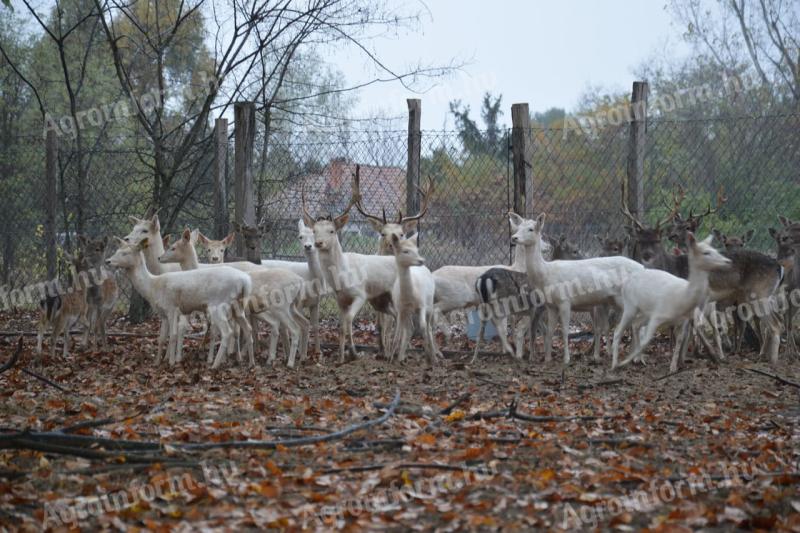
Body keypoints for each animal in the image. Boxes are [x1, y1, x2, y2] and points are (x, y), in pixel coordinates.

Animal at [104, 239, 252, 368]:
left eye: (125, 253)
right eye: (117, 250)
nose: (107, 261)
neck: (153, 287)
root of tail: (245, 281)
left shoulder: (171, 308)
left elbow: (173, 335)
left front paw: (171, 362)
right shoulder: (163, 313)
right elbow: (162, 338)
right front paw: (157, 362)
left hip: (218, 305)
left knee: (227, 332)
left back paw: (214, 365)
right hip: (238, 306)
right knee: (247, 328)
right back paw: (250, 363)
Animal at [386, 233, 440, 362]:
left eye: (417, 250)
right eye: (405, 251)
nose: (421, 260)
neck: (409, 297)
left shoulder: (422, 305)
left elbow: (423, 327)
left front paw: (429, 357)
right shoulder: (400, 309)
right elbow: (397, 334)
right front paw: (391, 360)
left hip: (430, 305)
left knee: (429, 328)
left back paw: (434, 357)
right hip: (408, 312)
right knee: (409, 329)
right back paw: (401, 358)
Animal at [510, 212, 648, 366]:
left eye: (531, 229)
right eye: (518, 228)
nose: (514, 238)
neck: (546, 274)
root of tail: (643, 268)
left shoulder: (565, 300)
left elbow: (565, 331)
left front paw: (566, 359)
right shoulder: (551, 305)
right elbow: (550, 331)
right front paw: (547, 359)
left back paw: (637, 358)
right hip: (614, 300)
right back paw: (633, 357)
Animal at [616, 233, 736, 374]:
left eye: (716, 250)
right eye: (706, 252)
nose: (728, 261)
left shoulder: (684, 319)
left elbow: (681, 338)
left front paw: (674, 366)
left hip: (710, 311)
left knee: (715, 330)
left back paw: (720, 356)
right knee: (632, 326)